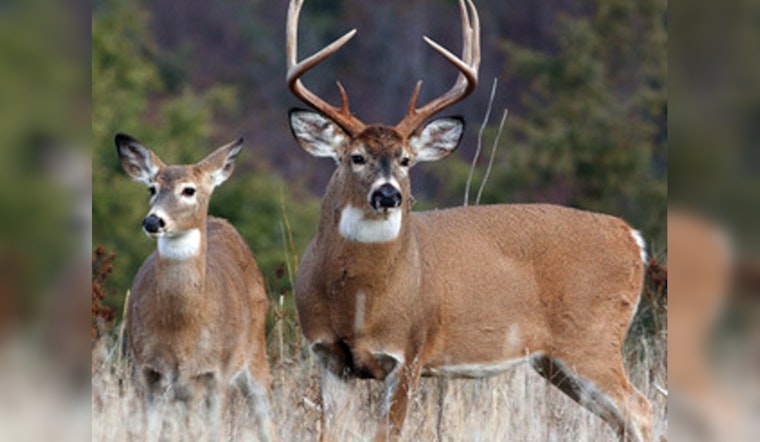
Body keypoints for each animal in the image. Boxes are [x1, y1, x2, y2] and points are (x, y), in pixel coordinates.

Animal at [115, 133, 274, 441]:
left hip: (256, 351)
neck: (182, 332)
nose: (153, 220)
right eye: (151, 188)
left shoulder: (218, 374)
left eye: (189, 190)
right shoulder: (147, 371)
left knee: (266, 417)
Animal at [285, 0, 653, 441]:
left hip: (593, 338)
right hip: (555, 361)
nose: (388, 194)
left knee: (642, 409)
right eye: (356, 157)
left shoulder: (410, 350)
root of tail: (632, 237)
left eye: (406, 160)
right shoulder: (327, 354)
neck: (357, 302)